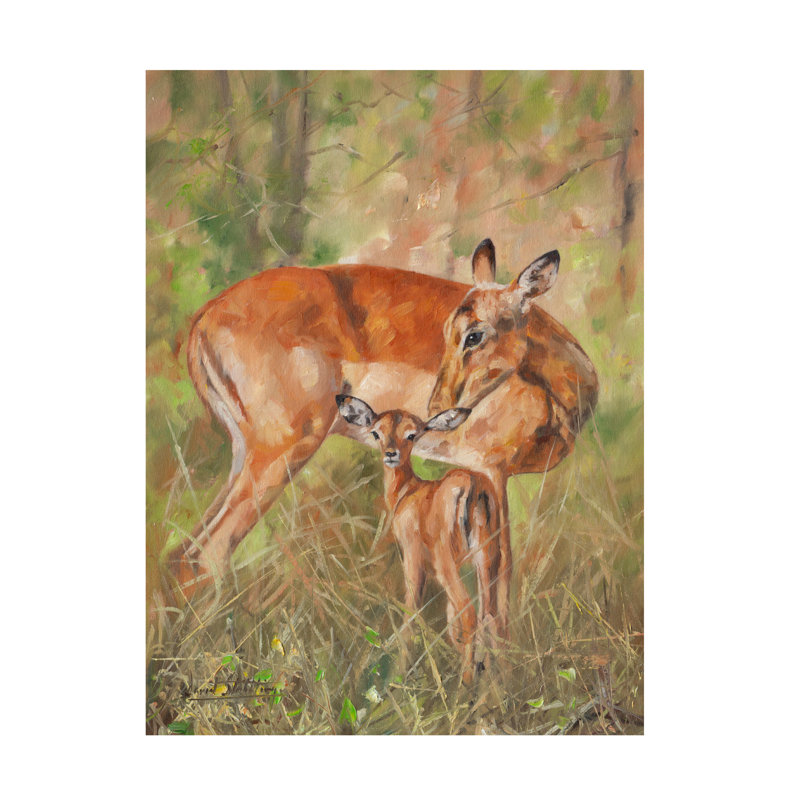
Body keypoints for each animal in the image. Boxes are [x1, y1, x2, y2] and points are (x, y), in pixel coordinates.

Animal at [169, 238, 598, 603]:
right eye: (449, 330)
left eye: (475, 334)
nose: (436, 408)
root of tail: (203, 319)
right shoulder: (491, 470)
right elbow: (498, 574)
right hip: (283, 451)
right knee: (209, 553)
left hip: (245, 454)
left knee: (184, 555)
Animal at [335, 394, 502, 684]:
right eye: (377, 432)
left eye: (412, 434)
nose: (391, 454)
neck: (408, 492)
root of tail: (473, 486)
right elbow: (451, 621)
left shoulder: (412, 558)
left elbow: (411, 613)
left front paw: (399, 677)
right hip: (488, 557)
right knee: (489, 617)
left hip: (447, 564)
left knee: (469, 613)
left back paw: (465, 685)